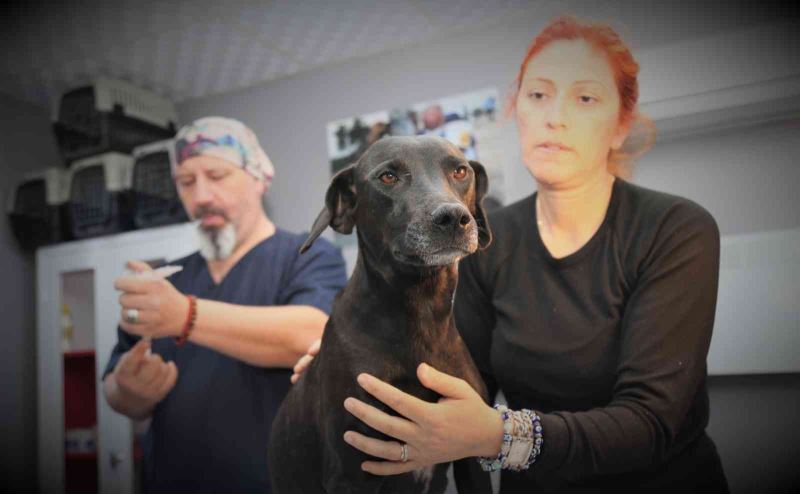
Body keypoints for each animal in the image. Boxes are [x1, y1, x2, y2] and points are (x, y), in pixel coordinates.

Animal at [268, 136, 494, 494]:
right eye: (388, 177)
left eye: (460, 171)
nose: (453, 217)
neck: (422, 314)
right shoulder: (349, 473)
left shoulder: (471, 452)